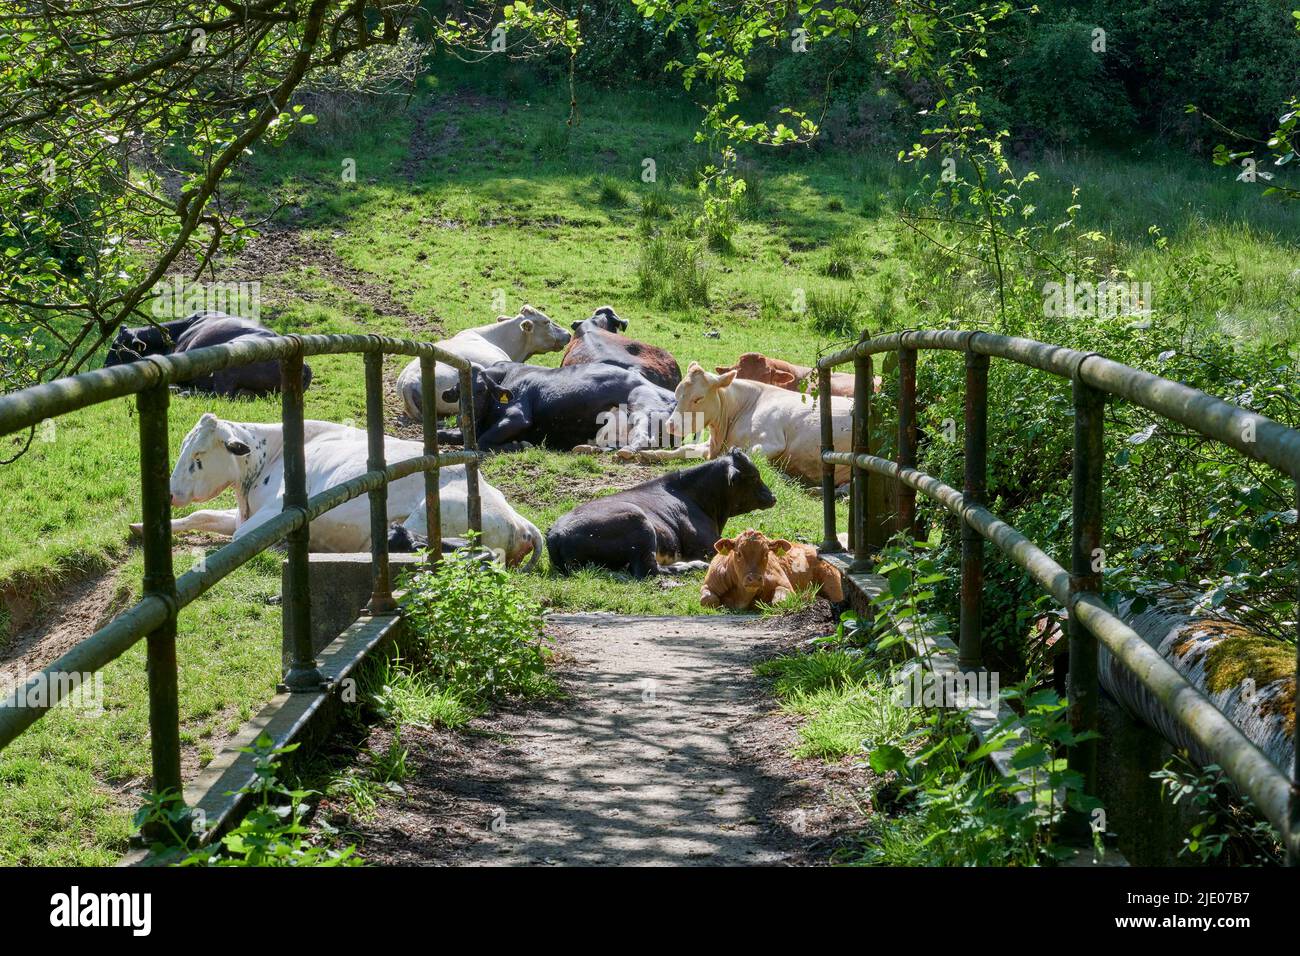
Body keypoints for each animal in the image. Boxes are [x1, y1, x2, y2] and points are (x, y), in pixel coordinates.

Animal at [135, 413, 543, 567]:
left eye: (199, 455)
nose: (170, 493)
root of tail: (519, 521)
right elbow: (201, 515)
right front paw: (141, 528)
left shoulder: (272, 514)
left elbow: (239, 538)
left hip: (424, 521)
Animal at [437, 361, 680, 454]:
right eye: (457, 391)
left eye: (480, 390)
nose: (463, 417)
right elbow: (444, 434)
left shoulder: (518, 416)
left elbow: (483, 441)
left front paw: (520, 444)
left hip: (643, 407)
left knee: (644, 437)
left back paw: (626, 451)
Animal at [545, 449, 777, 578]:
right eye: (754, 477)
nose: (773, 497)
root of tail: (556, 533)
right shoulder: (705, 546)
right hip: (639, 524)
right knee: (649, 570)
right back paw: (693, 566)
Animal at [626, 362, 854, 484]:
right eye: (676, 392)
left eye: (698, 398)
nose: (671, 425)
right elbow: (684, 449)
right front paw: (649, 454)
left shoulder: (771, 442)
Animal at [699, 528, 843, 611]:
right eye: (738, 553)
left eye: (766, 553)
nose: (754, 579)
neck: (743, 595)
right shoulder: (709, 584)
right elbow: (707, 600)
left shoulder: (785, 585)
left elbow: (780, 601)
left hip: (833, 584)